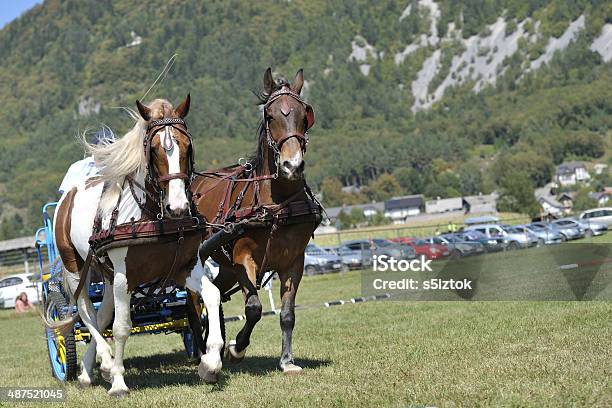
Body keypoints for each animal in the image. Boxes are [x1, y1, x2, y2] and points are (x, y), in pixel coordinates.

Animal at [45, 96, 224, 396]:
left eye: (187, 146)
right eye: (153, 150)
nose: (178, 207)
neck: (155, 218)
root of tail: (70, 192)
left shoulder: (185, 267)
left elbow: (212, 295)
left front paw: (210, 363)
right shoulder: (124, 275)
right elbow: (121, 326)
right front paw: (118, 381)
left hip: (106, 273)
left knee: (102, 312)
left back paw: (90, 370)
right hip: (77, 267)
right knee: (85, 311)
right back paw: (105, 362)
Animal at [189, 68, 318, 374]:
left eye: (304, 115)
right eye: (270, 116)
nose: (292, 166)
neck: (276, 206)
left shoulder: (294, 262)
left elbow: (287, 314)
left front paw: (287, 361)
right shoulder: (243, 259)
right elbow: (254, 308)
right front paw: (238, 348)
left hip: (223, 267)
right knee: (195, 303)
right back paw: (203, 351)